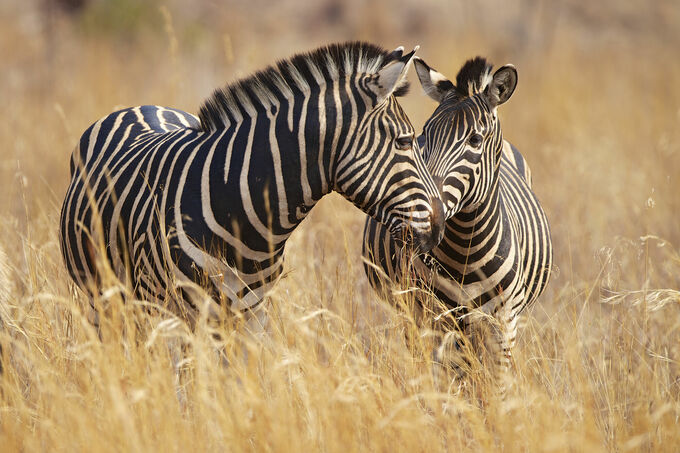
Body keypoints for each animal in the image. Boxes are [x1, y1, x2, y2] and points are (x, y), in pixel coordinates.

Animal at [61, 42, 446, 332]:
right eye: (405, 141)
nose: (441, 225)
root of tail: (140, 106)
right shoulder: (168, 313)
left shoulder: (250, 315)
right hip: (105, 300)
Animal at [364, 56, 548, 380]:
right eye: (425, 135)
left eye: (475, 139)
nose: (426, 213)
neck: (467, 246)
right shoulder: (435, 315)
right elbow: (449, 380)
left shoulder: (504, 321)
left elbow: (495, 383)